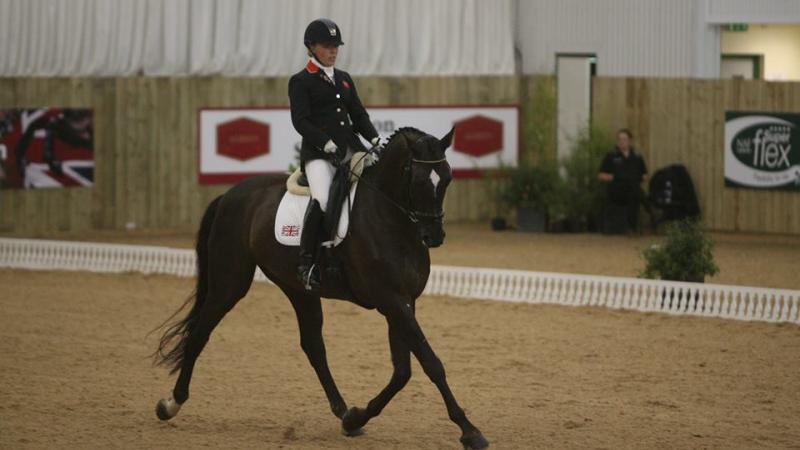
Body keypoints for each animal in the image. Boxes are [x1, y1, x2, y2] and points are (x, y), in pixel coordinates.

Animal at [151, 126, 488, 450]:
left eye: (447, 177)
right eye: (417, 180)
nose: (434, 236)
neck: (391, 218)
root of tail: (230, 195)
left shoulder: (404, 302)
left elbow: (402, 371)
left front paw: (356, 417)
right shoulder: (391, 301)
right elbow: (431, 364)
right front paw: (470, 431)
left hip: (299, 290)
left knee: (313, 346)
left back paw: (343, 412)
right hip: (230, 281)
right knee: (200, 333)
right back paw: (170, 404)